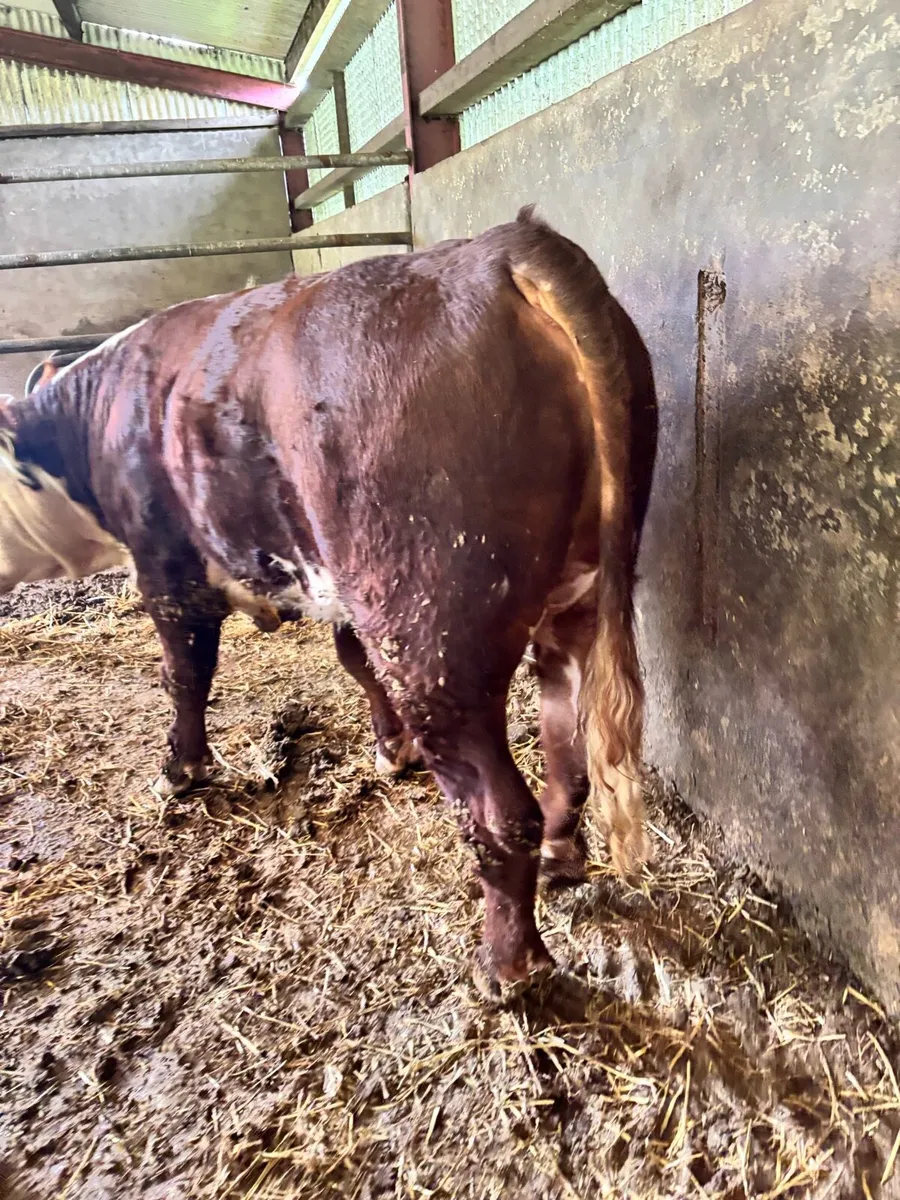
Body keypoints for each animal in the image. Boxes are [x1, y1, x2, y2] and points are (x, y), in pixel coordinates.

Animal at [0, 208, 657, 993]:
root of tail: (498, 249)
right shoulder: (336, 586)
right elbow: (352, 660)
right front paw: (390, 749)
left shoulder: (168, 567)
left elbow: (184, 674)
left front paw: (180, 772)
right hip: (571, 601)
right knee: (567, 749)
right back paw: (561, 860)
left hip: (431, 631)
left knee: (500, 808)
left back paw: (507, 964)